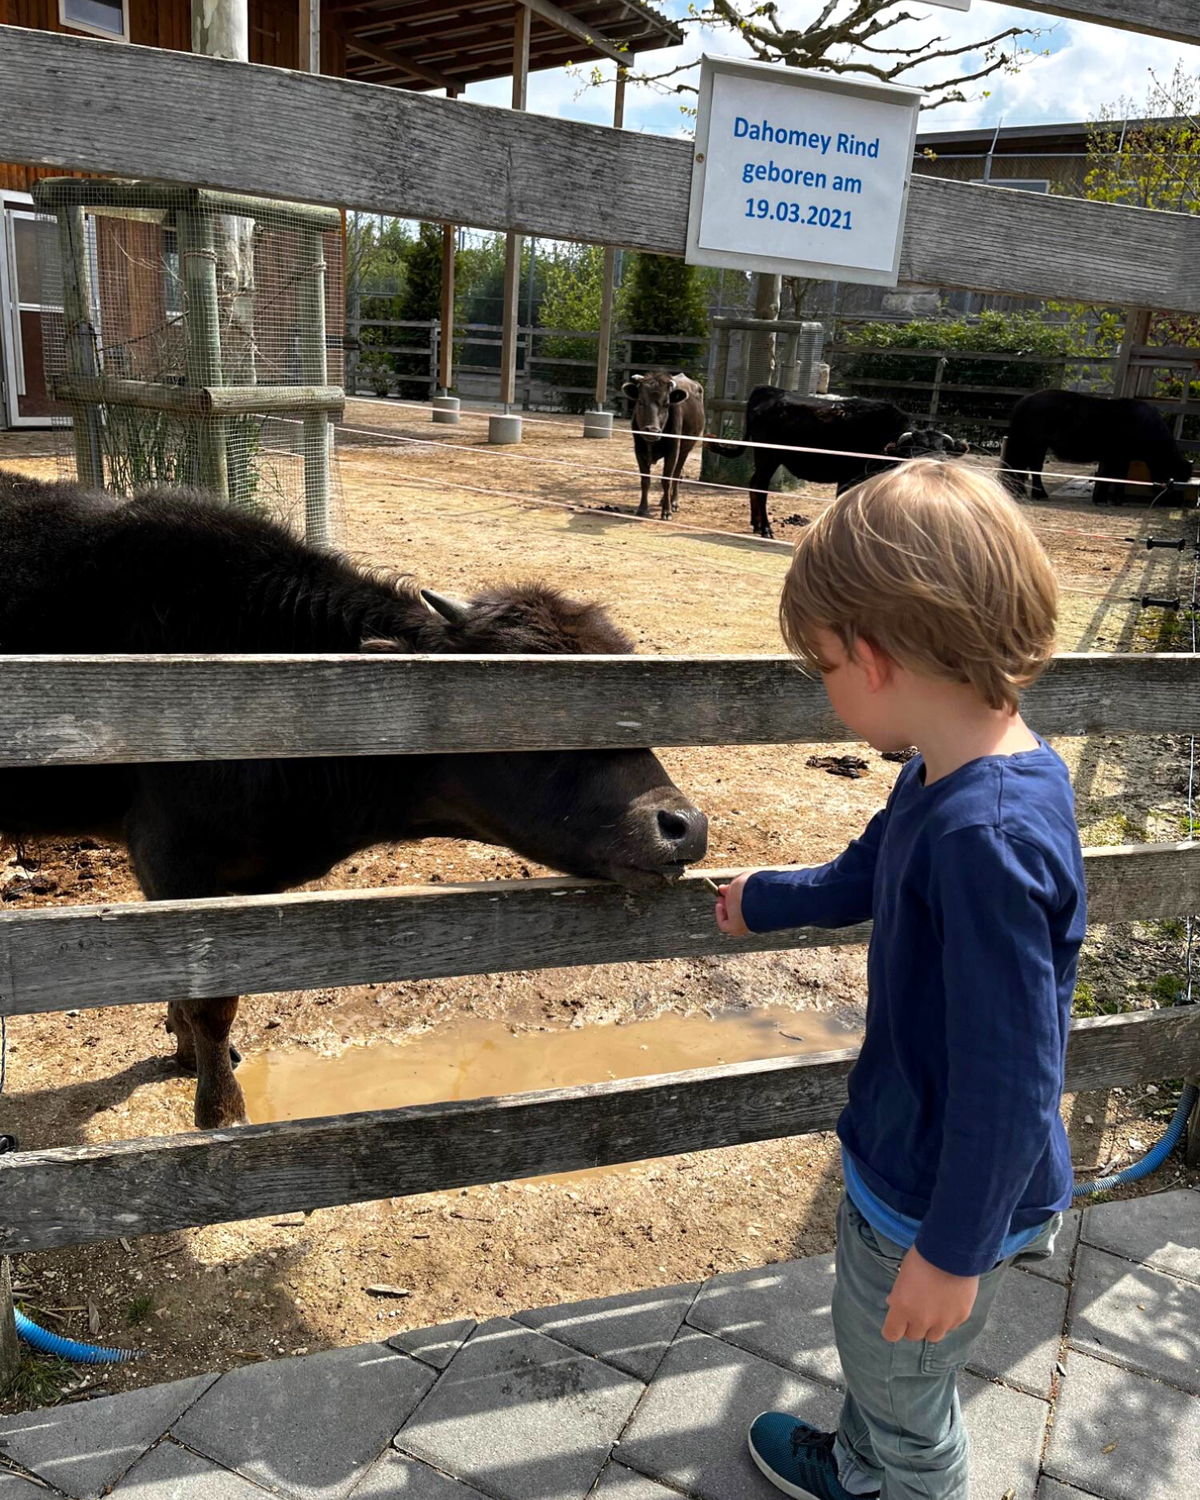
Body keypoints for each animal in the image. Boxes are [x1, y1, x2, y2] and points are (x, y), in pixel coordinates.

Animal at [624, 370, 708, 522]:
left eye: (666, 404)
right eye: (640, 402)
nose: (652, 430)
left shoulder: (673, 451)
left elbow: (667, 480)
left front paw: (667, 511)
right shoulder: (639, 451)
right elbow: (645, 481)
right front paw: (642, 508)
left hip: (685, 450)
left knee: (677, 475)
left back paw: (673, 502)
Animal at [708, 390, 972, 543]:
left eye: (944, 456)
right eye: (913, 455)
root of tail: (768, 394)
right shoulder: (849, 476)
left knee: (754, 483)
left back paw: (756, 524)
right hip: (768, 456)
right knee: (760, 487)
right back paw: (765, 529)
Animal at [1002, 387, 1188, 504]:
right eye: (1175, 477)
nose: (1176, 503)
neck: (1145, 426)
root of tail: (1026, 400)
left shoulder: (1118, 457)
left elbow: (1112, 476)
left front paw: (1105, 498)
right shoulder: (1119, 456)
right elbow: (1116, 476)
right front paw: (1112, 500)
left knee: (1021, 465)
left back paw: (1019, 492)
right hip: (1036, 443)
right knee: (1033, 467)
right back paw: (1039, 494)